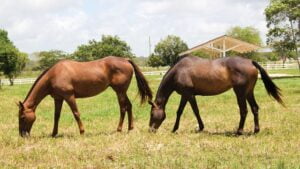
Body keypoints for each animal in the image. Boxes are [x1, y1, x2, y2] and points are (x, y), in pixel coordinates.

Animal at [17, 56, 152, 137]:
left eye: (22, 117)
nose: (22, 135)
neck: (54, 75)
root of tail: (125, 59)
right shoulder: (58, 98)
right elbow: (56, 116)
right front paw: (54, 133)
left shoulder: (69, 96)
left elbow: (76, 113)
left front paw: (82, 132)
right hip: (122, 91)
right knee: (129, 106)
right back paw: (130, 128)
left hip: (119, 91)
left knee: (123, 108)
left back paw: (118, 129)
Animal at [149, 55, 284, 135]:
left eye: (151, 114)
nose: (150, 129)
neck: (179, 71)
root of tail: (251, 61)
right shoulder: (187, 95)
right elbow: (187, 111)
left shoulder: (188, 94)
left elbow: (189, 111)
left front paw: (178, 128)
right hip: (249, 92)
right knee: (254, 108)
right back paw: (256, 130)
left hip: (240, 92)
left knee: (243, 110)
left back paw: (239, 131)